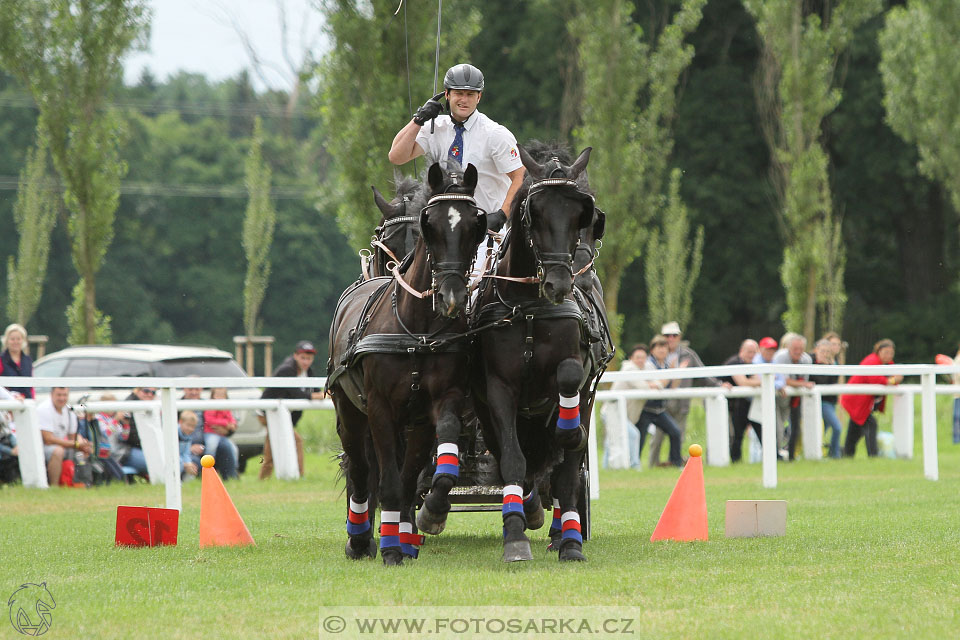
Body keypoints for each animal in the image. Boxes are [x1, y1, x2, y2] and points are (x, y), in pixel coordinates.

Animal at [328, 161, 488, 564]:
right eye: (430, 224)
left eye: (474, 225)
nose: (451, 295)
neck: (418, 331)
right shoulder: (380, 408)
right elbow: (386, 481)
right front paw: (387, 547)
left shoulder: (436, 406)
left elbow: (418, 475)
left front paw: (426, 518)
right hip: (349, 410)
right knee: (360, 468)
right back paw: (360, 539)